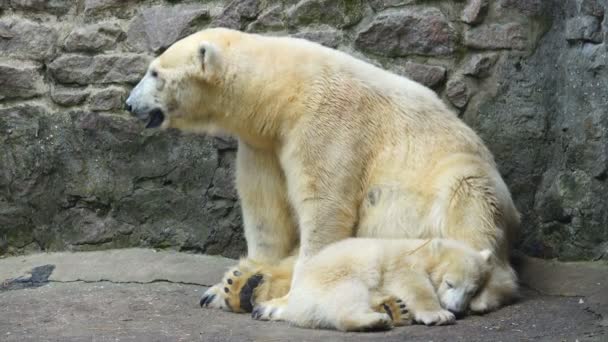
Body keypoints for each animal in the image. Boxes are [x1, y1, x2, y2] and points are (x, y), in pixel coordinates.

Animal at [126, 26, 520, 316]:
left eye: (155, 72)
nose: (129, 104)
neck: (283, 92)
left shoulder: (328, 123)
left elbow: (325, 207)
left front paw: (289, 300)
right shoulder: (263, 143)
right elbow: (266, 211)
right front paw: (238, 281)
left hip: (460, 175)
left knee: (468, 206)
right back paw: (241, 285)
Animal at [252, 238, 494, 332]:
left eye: (472, 291)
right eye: (449, 283)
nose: (457, 309)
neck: (422, 249)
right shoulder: (401, 262)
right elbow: (411, 283)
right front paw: (440, 315)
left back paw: (394, 309)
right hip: (332, 277)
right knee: (345, 296)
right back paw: (374, 320)